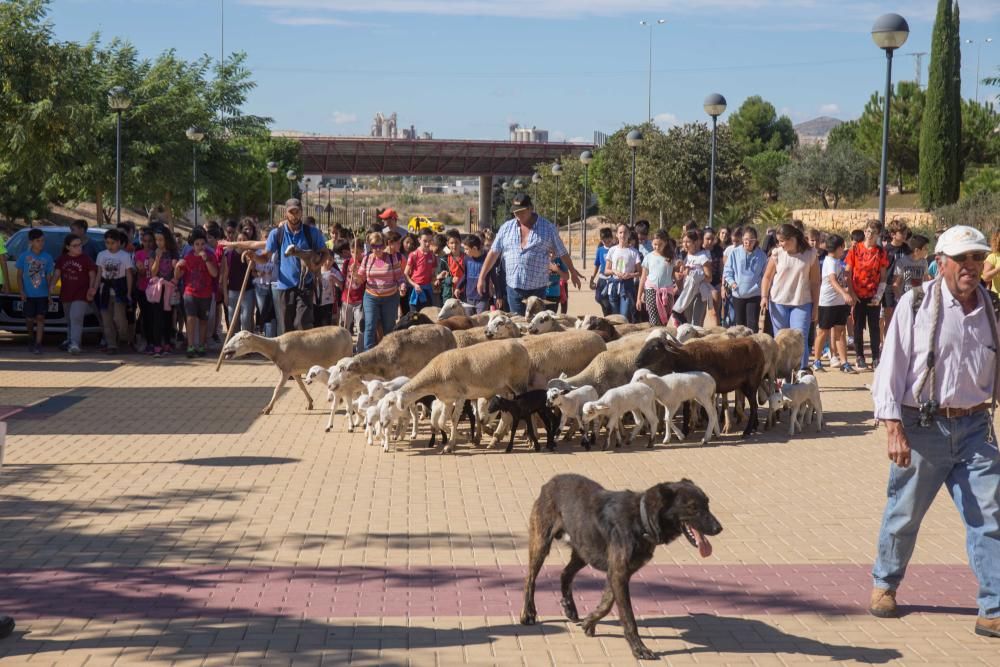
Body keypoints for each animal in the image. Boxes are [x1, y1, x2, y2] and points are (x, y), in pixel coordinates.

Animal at [223, 326, 356, 414]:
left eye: (240, 339)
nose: (224, 349)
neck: (275, 348)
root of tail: (347, 332)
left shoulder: (286, 370)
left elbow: (277, 389)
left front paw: (268, 409)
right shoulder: (294, 372)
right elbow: (302, 387)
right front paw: (310, 403)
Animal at [390, 340, 532, 454]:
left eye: (391, 403)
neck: (436, 373)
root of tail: (522, 347)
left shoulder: (460, 396)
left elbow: (453, 420)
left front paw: (452, 444)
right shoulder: (447, 400)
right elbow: (441, 421)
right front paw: (462, 436)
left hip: (519, 384)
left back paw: (529, 440)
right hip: (504, 390)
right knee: (506, 416)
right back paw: (494, 440)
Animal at [520, 478, 724, 660]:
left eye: (707, 504)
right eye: (692, 507)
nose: (719, 528)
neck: (641, 520)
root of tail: (549, 482)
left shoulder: (617, 573)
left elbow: (607, 604)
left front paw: (589, 621)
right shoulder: (618, 574)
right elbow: (628, 616)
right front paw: (639, 649)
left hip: (584, 550)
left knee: (565, 574)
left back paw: (570, 608)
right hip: (541, 543)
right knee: (530, 579)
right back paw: (528, 613)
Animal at [636, 334, 768, 438]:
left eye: (655, 347)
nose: (637, 361)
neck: (685, 358)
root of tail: (758, 348)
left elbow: (705, 411)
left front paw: (711, 431)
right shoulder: (688, 388)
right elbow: (686, 409)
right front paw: (685, 431)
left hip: (751, 383)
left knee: (754, 406)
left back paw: (747, 431)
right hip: (746, 385)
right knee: (754, 406)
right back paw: (754, 426)